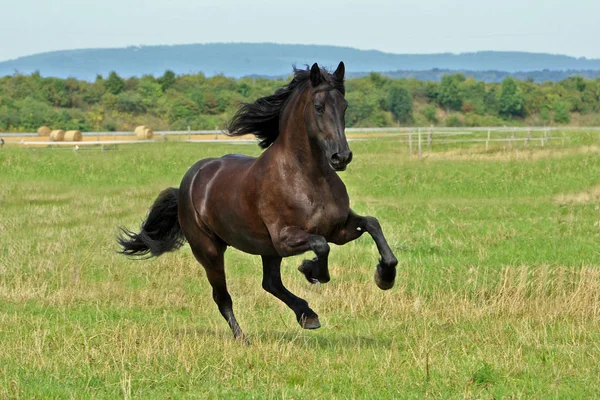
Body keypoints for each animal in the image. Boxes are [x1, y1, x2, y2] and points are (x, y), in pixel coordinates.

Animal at [118, 62, 398, 340]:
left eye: (344, 106)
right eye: (319, 107)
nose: (341, 157)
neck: (307, 177)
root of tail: (187, 184)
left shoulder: (338, 230)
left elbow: (372, 224)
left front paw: (385, 276)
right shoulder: (285, 238)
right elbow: (320, 245)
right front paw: (310, 270)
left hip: (266, 250)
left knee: (270, 283)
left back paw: (307, 315)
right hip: (210, 251)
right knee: (223, 297)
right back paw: (243, 337)